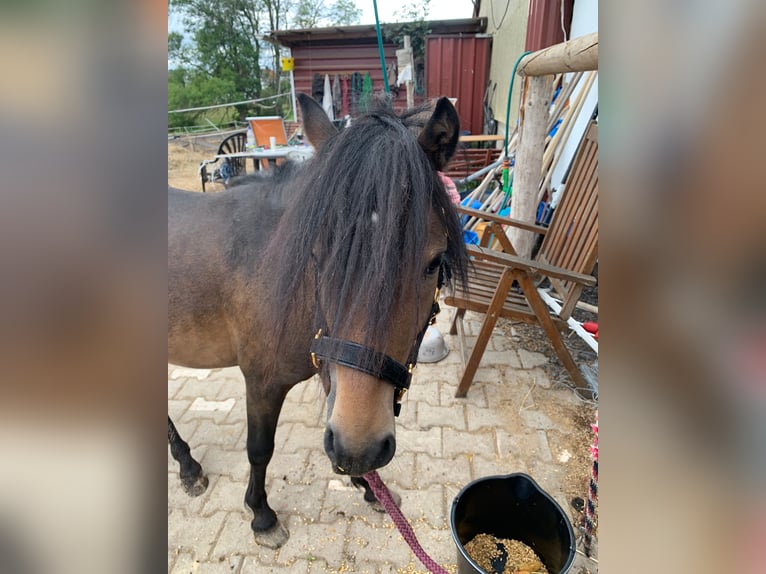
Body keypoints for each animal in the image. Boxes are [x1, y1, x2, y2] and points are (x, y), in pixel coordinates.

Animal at [169, 94, 468, 548]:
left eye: (434, 262)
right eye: (316, 252)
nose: (360, 449)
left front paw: (368, 486)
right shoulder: (261, 381)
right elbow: (260, 449)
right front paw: (262, 515)